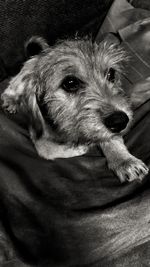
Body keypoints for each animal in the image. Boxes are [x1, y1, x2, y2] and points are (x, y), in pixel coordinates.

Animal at [0, 36, 149, 184]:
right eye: (70, 83)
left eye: (111, 74)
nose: (120, 121)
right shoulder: (38, 137)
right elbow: (48, 151)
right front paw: (79, 148)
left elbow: (110, 138)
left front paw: (124, 160)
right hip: (21, 80)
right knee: (11, 86)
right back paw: (10, 101)